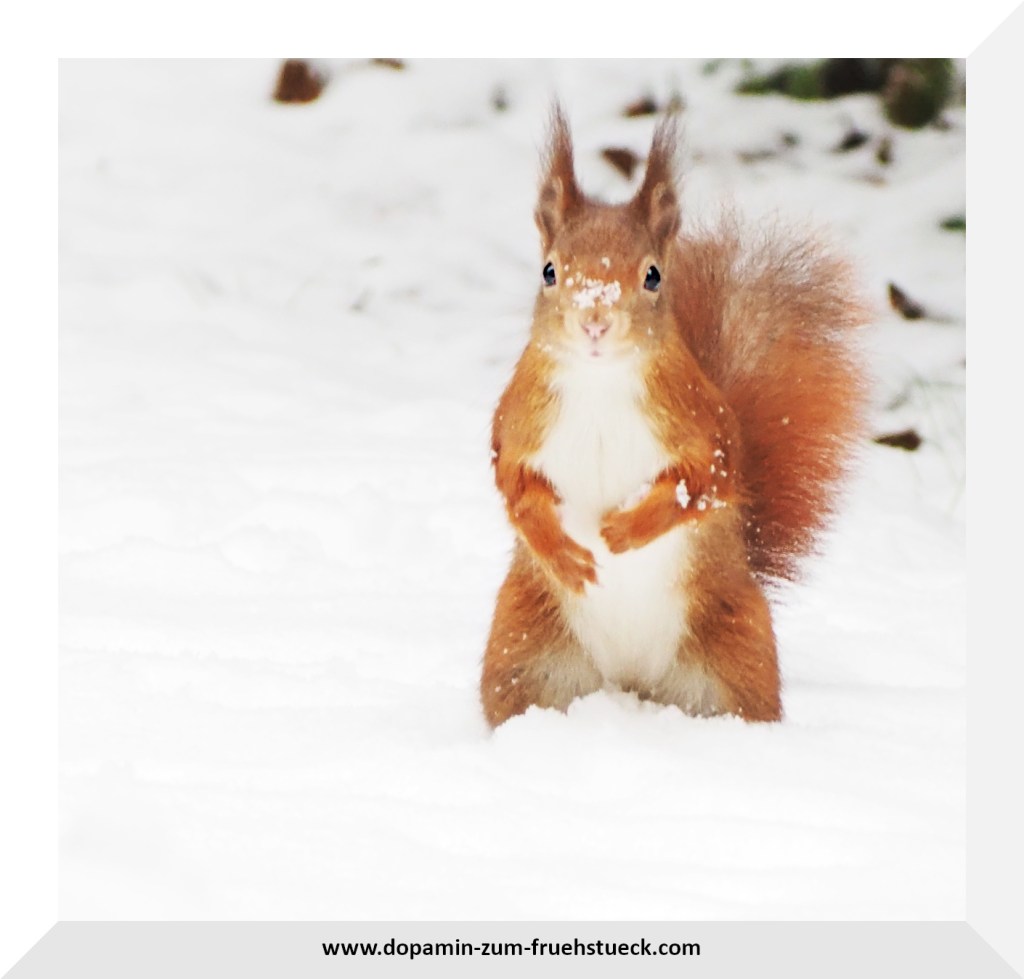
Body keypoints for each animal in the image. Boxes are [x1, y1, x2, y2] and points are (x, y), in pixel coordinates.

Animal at [480, 107, 868, 727]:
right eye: (548, 271)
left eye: (653, 275)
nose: (595, 322)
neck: (600, 381)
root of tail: (630, 682)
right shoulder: (517, 425)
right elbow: (514, 486)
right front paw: (564, 553)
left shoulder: (703, 425)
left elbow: (706, 479)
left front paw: (624, 530)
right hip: (524, 648)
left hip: (734, 654)